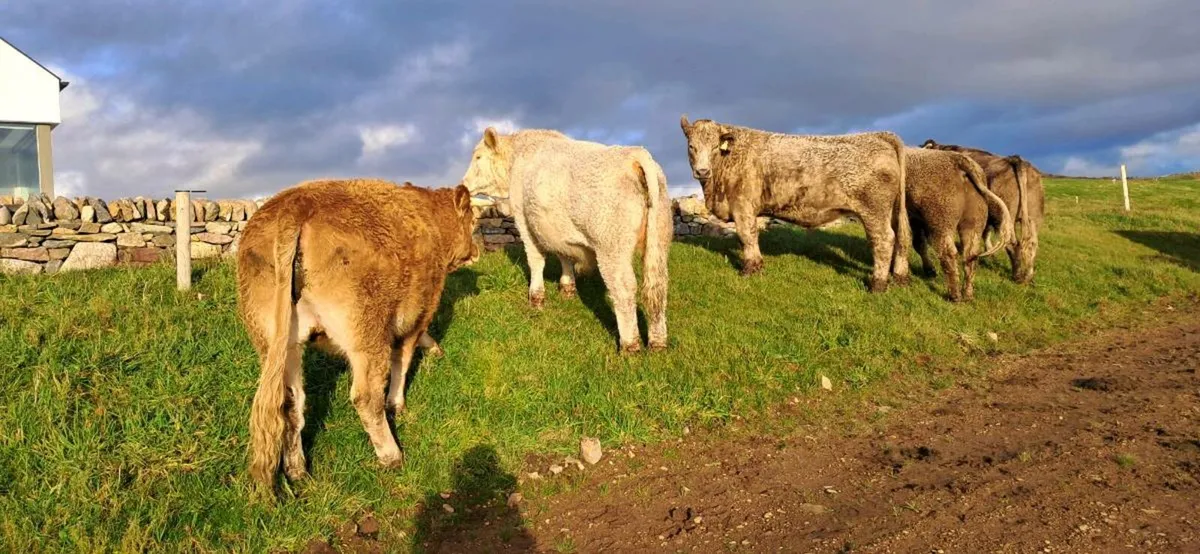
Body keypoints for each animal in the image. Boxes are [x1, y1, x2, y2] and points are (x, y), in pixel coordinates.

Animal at [236, 178, 480, 490]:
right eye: (472, 221)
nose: (476, 251)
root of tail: (297, 202)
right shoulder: (420, 310)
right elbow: (403, 358)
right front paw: (396, 403)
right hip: (366, 333)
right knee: (366, 397)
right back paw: (391, 456)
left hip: (276, 342)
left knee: (290, 402)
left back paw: (297, 470)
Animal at [461, 127, 672, 353]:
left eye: (478, 157)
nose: (463, 185)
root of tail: (635, 153)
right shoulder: (558, 231)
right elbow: (564, 256)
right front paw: (567, 288)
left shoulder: (524, 221)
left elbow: (536, 262)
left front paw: (536, 299)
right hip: (659, 241)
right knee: (657, 287)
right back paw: (658, 343)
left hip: (611, 248)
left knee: (624, 289)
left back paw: (629, 346)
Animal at [679, 115, 911, 292]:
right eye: (691, 146)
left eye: (715, 148)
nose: (702, 171)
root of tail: (878, 136)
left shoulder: (743, 206)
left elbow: (747, 236)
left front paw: (750, 269)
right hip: (892, 211)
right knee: (902, 237)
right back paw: (900, 277)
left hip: (874, 211)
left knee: (884, 240)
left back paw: (877, 285)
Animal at [904, 147, 1015, 301]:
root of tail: (959, 160)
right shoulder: (915, 218)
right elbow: (919, 244)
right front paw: (929, 270)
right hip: (972, 222)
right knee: (971, 255)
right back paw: (967, 294)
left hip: (941, 222)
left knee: (948, 253)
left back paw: (954, 295)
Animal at [920, 140, 1045, 284]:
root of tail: (1017, 161)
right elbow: (985, 233)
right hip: (1034, 218)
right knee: (1031, 244)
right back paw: (1028, 276)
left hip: (1004, 217)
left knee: (1012, 244)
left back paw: (1017, 276)